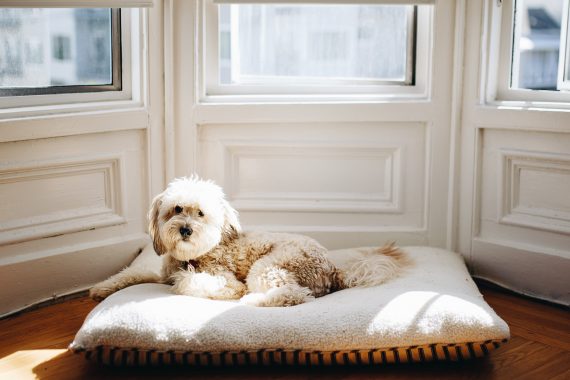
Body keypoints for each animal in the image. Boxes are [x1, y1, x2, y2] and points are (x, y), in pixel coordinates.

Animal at [90, 177, 408, 308]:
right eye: (177, 209)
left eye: (201, 213)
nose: (185, 230)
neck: (192, 256)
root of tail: (333, 269)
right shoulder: (159, 274)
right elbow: (133, 273)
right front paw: (101, 288)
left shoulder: (226, 281)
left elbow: (189, 282)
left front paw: (189, 281)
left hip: (268, 267)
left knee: (293, 295)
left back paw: (254, 300)